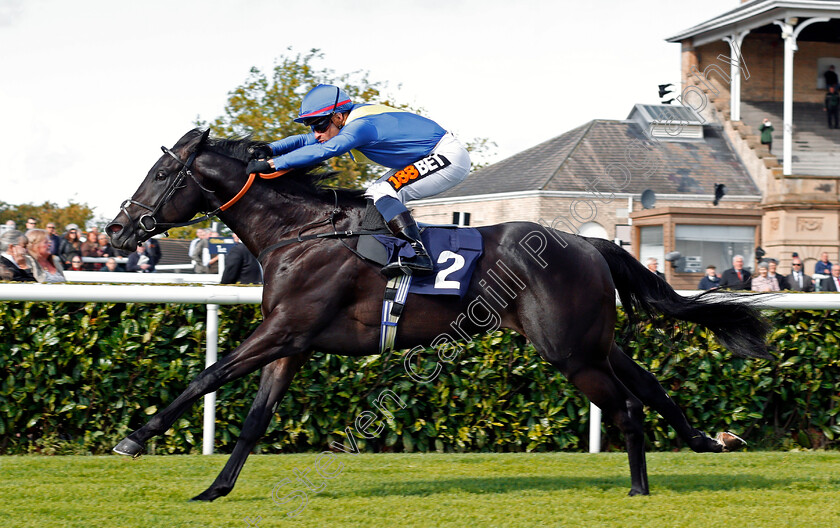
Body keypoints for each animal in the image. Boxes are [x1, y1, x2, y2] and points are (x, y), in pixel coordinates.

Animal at [105, 128, 768, 500]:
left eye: (162, 173)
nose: (116, 230)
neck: (302, 233)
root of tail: (589, 244)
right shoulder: (292, 342)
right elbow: (254, 420)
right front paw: (214, 489)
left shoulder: (284, 329)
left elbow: (208, 376)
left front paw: (133, 438)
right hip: (592, 342)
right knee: (649, 385)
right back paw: (706, 441)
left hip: (570, 352)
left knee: (627, 405)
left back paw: (638, 487)